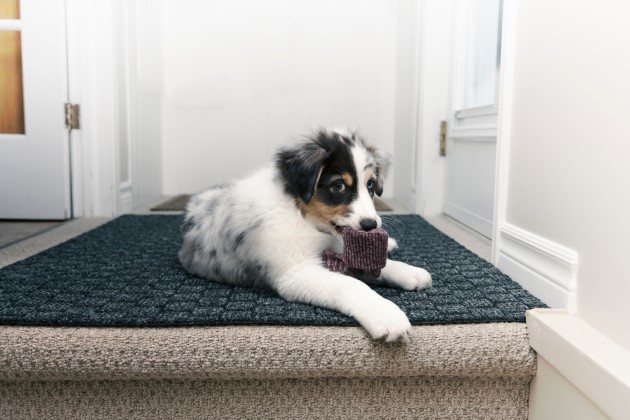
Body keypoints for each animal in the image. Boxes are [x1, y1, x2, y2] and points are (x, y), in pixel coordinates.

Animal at [180, 128, 432, 342]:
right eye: (338, 186)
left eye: (370, 185)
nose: (371, 225)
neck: (303, 215)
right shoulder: (295, 272)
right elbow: (350, 284)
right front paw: (386, 315)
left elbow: (371, 263)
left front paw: (409, 272)